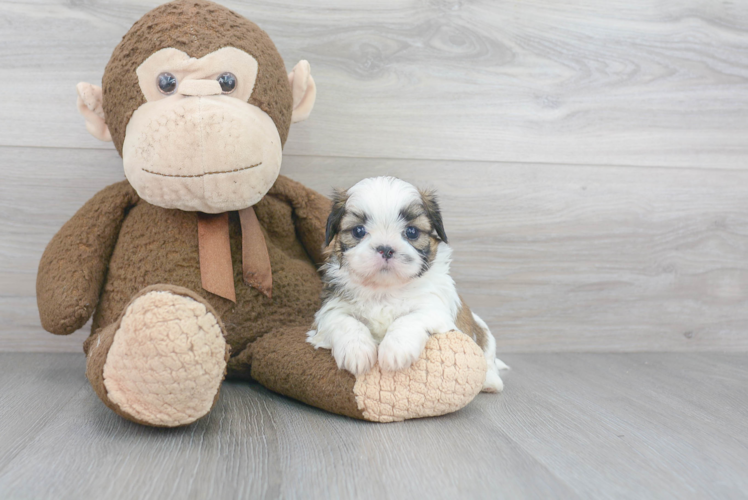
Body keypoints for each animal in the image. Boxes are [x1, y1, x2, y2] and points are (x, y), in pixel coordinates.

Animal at [306, 178, 506, 392]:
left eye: (411, 232)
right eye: (358, 231)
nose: (385, 249)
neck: (384, 290)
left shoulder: (434, 308)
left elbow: (409, 318)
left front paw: (395, 351)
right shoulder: (330, 310)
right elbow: (345, 321)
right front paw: (357, 351)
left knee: (489, 361)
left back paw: (490, 381)